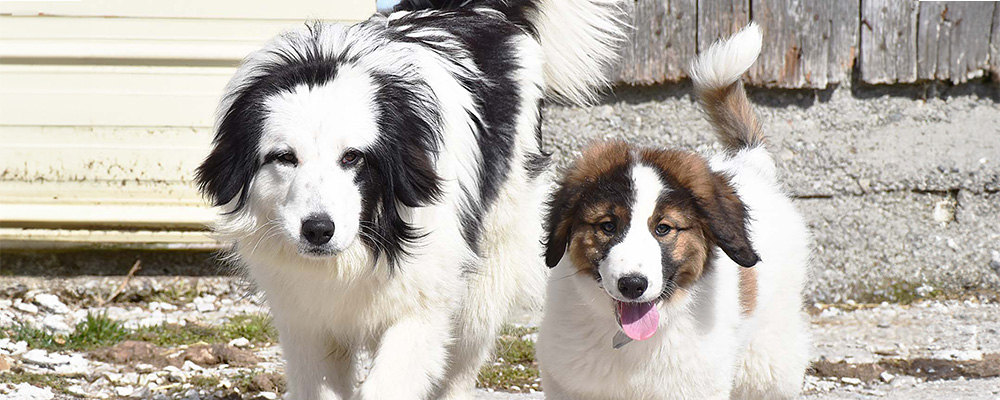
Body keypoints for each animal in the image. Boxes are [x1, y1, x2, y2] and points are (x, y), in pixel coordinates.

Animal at [193, 1, 624, 398]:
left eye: (352, 157)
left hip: (489, 270)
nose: (317, 230)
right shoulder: (306, 323)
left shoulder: (420, 309)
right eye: (284, 157)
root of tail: (477, 9)